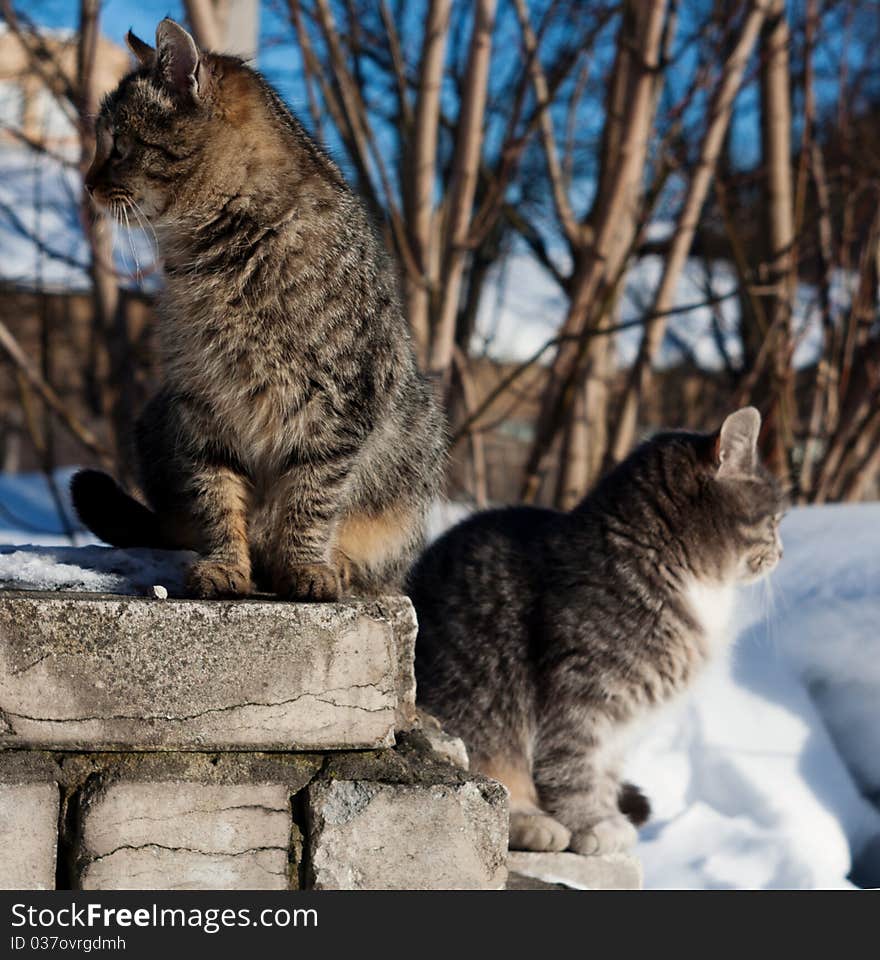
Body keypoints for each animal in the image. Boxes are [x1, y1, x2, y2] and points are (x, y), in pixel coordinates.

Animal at [71, 18, 444, 600]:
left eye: (120, 147)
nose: (87, 183)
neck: (220, 256)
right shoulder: (201, 405)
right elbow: (216, 497)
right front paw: (225, 564)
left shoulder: (338, 411)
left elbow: (311, 500)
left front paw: (307, 568)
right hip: (156, 415)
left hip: (419, 435)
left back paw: (338, 565)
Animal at [410, 408, 788, 852]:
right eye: (775, 520)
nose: (782, 553)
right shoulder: (580, 696)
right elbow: (573, 767)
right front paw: (592, 822)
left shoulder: (622, 720)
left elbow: (605, 771)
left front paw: (607, 815)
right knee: (490, 794)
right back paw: (532, 823)